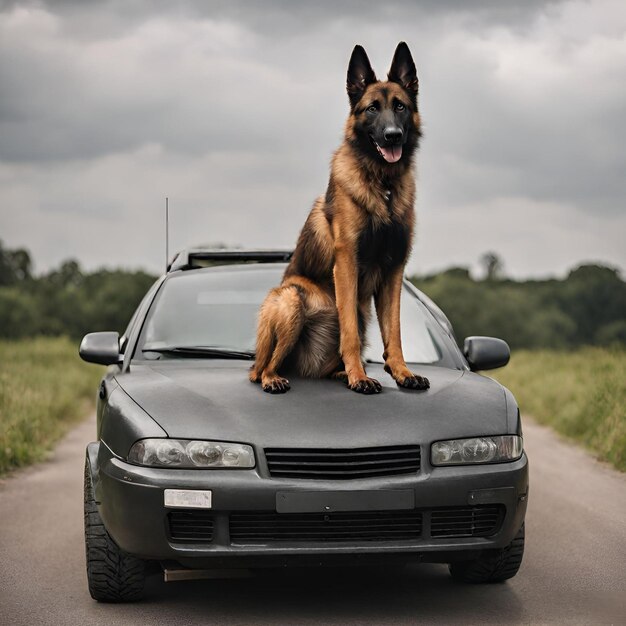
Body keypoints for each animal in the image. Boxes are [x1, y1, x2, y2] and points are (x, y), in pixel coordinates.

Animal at [249, 42, 428, 394]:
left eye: (400, 106)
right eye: (372, 109)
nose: (392, 135)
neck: (383, 184)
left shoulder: (394, 270)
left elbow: (395, 332)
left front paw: (402, 372)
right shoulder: (347, 263)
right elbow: (349, 334)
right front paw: (360, 377)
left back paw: (341, 373)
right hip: (292, 300)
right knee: (262, 368)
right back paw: (275, 378)